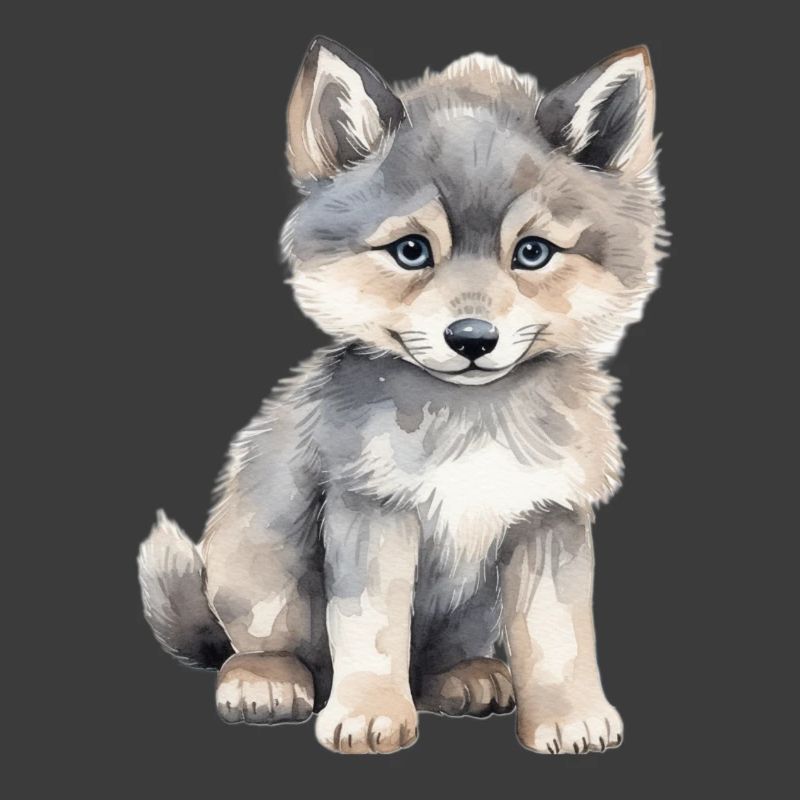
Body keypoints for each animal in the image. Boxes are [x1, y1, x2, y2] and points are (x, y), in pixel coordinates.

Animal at [138, 37, 666, 755]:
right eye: (412, 251)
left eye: (532, 253)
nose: (472, 338)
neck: (473, 420)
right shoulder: (372, 510)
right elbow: (372, 629)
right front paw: (368, 715)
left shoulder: (548, 516)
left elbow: (557, 635)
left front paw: (569, 718)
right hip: (259, 567)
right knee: (254, 645)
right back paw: (265, 681)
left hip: (473, 609)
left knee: (439, 659)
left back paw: (467, 678)